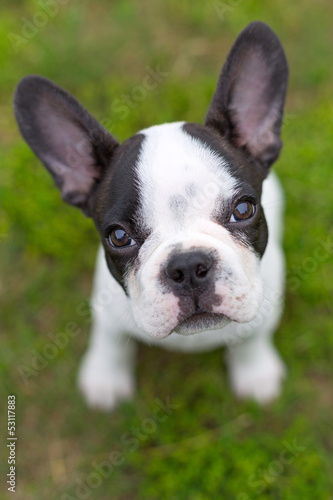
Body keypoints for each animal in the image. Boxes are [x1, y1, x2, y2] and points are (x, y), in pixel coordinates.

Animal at [14, 21, 286, 410]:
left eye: (243, 210)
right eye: (118, 237)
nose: (188, 266)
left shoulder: (264, 308)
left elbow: (252, 339)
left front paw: (255, 373)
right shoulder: (106, 310)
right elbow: (110, 342)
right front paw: (105, 378)